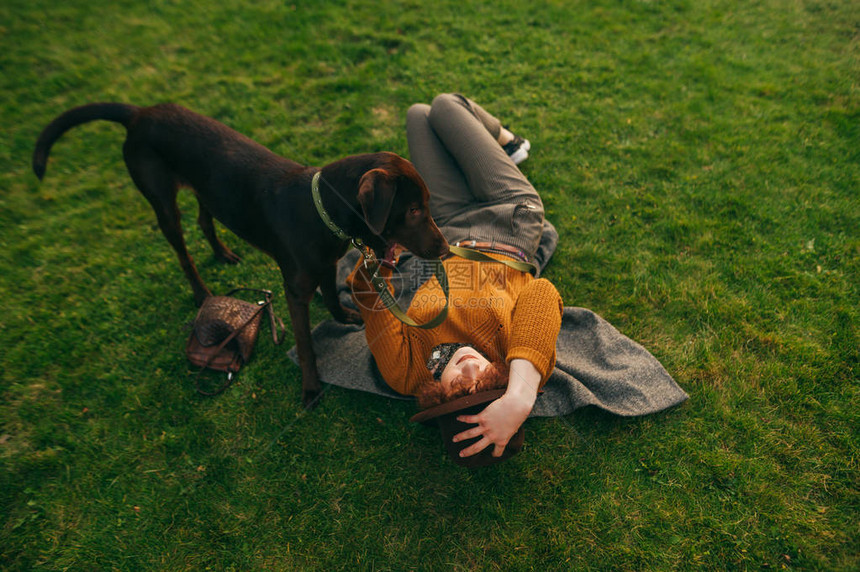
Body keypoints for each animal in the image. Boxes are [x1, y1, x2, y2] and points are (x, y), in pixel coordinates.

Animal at [31, 103, 450, 406]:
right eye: (414, 210)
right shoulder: (294, 290)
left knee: (204, 219)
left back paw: (223, 253)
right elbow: (305, 344)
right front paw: (310, 389)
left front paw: (346, 316)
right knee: (183, 250)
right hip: (163, 203)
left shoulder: (325, 264)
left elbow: (331, 294)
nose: (446, 249)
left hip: (208, 191)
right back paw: (201, 292)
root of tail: (140, 113)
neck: (320, 211)